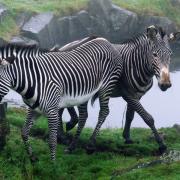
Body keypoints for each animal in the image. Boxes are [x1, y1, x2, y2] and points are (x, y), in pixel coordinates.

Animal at [58, 26, 179, 154]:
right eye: (155, 54)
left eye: (170, 54)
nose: (165, 84)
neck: (137, 64)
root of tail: (65, 46)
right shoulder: (128, 94)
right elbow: (147, 118)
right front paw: (161, 144)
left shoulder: (137, 95)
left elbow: (130, 115)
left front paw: (127, 137)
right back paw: (66, 131)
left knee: (61, 108)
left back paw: (62, 134)